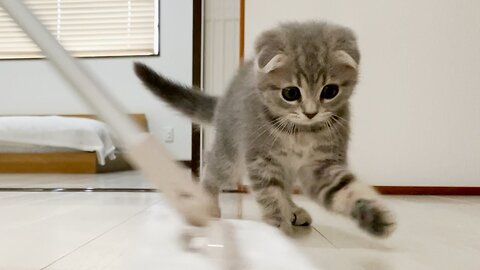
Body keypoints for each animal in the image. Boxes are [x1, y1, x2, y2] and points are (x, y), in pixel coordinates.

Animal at [133, 20, 396, 236]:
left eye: (330, 91)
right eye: (291, 93)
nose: (310, 113)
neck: (301, 131)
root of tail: (225, 96)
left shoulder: (320, 166)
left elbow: (345, 189)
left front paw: (374, 215)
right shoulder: (261, 159)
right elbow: (270, 193)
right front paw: (278, 227)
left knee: (285, 187)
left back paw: (293, 209)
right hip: (230, 151)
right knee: (212, 168)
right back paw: (208, 203)